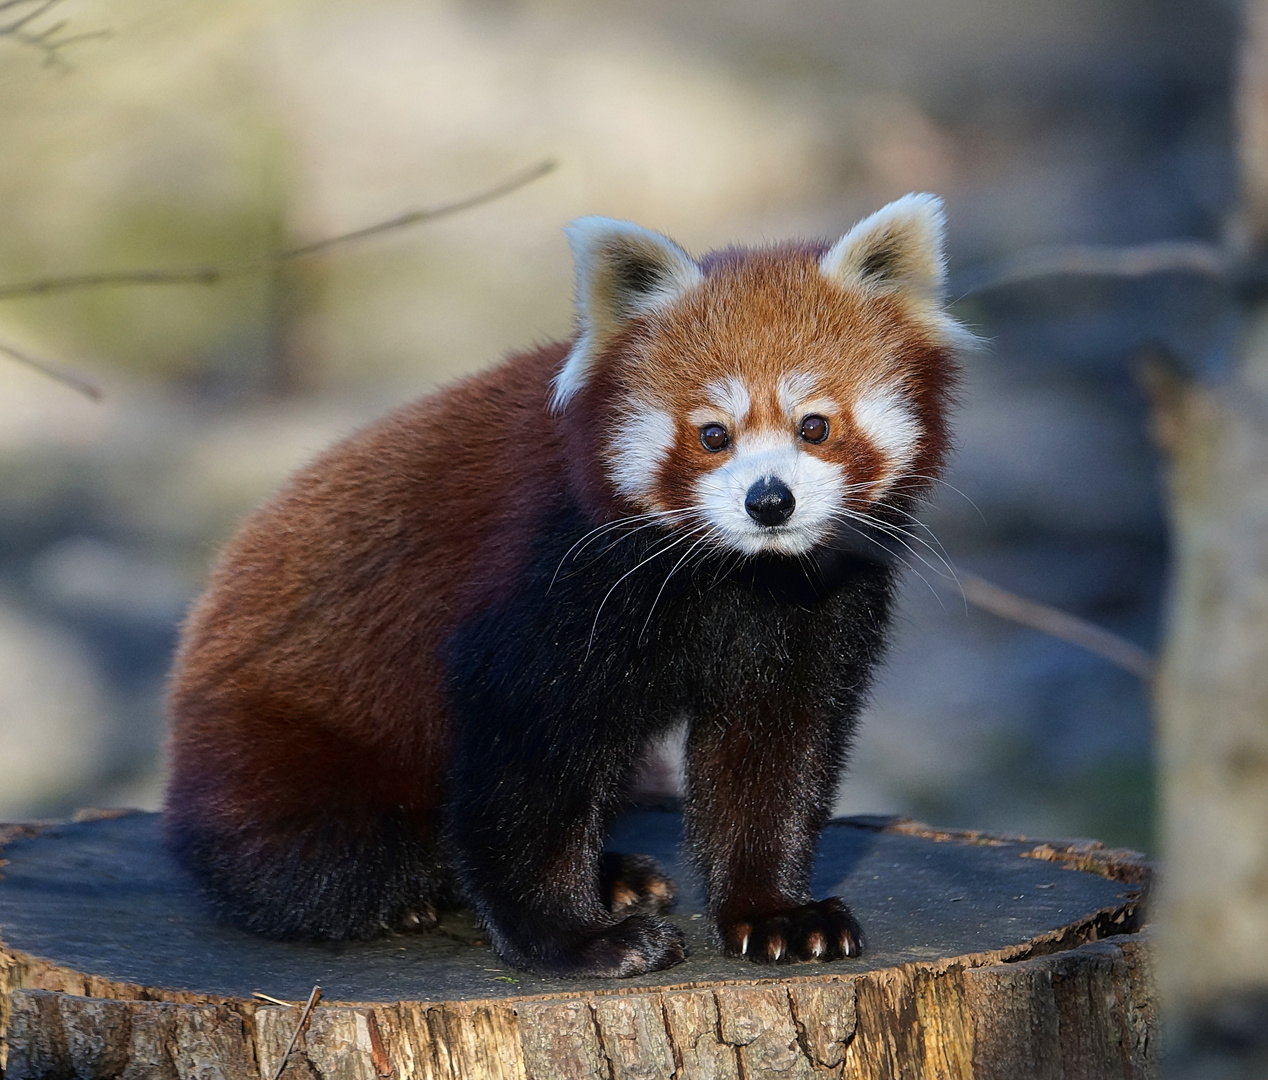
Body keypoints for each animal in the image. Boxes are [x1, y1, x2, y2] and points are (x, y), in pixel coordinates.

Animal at [163, 193, 963, 978]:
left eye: (814, 426)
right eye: (713, 435)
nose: (769, 502)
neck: (735, 574)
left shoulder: (812, 612)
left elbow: (775, 752)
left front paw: (776, 914)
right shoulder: (548, 583)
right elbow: (527, 774)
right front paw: (578, 940)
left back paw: (616, 874)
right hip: (282, 747)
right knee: (331, 858)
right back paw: (426, 887)